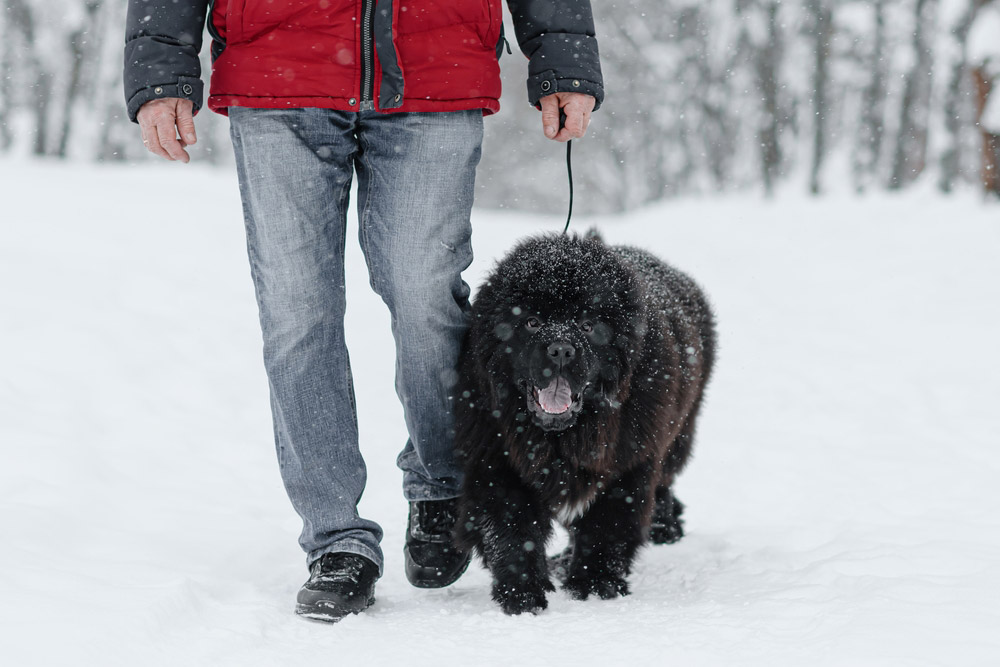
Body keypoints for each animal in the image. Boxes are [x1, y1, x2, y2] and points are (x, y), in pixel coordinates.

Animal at [450, 235, 716, 616]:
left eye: (588, 325)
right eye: (531, 322)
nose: (561, 350)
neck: (561, 438)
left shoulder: (627, 464)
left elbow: (607, 525)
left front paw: (594, 584)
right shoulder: (497, 459)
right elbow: (510, 529)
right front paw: (522, 594)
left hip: (677, 434)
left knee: (664, 482)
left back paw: (665, 527)